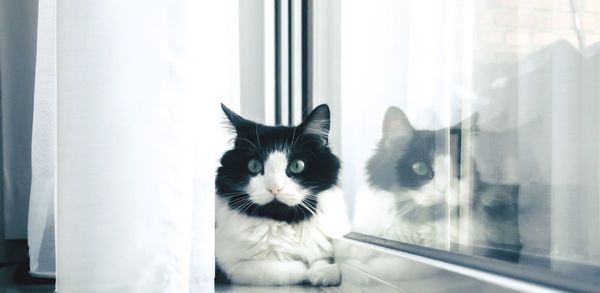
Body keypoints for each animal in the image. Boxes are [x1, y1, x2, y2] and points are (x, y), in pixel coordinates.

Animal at [214, 103, 350, 286]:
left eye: (297, 165)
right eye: (254, 165)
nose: (274, 188)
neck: (286, 221)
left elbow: (320, 260)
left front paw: (324, 271)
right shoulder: (230, 265)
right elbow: (287, 268)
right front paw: (309, 271)